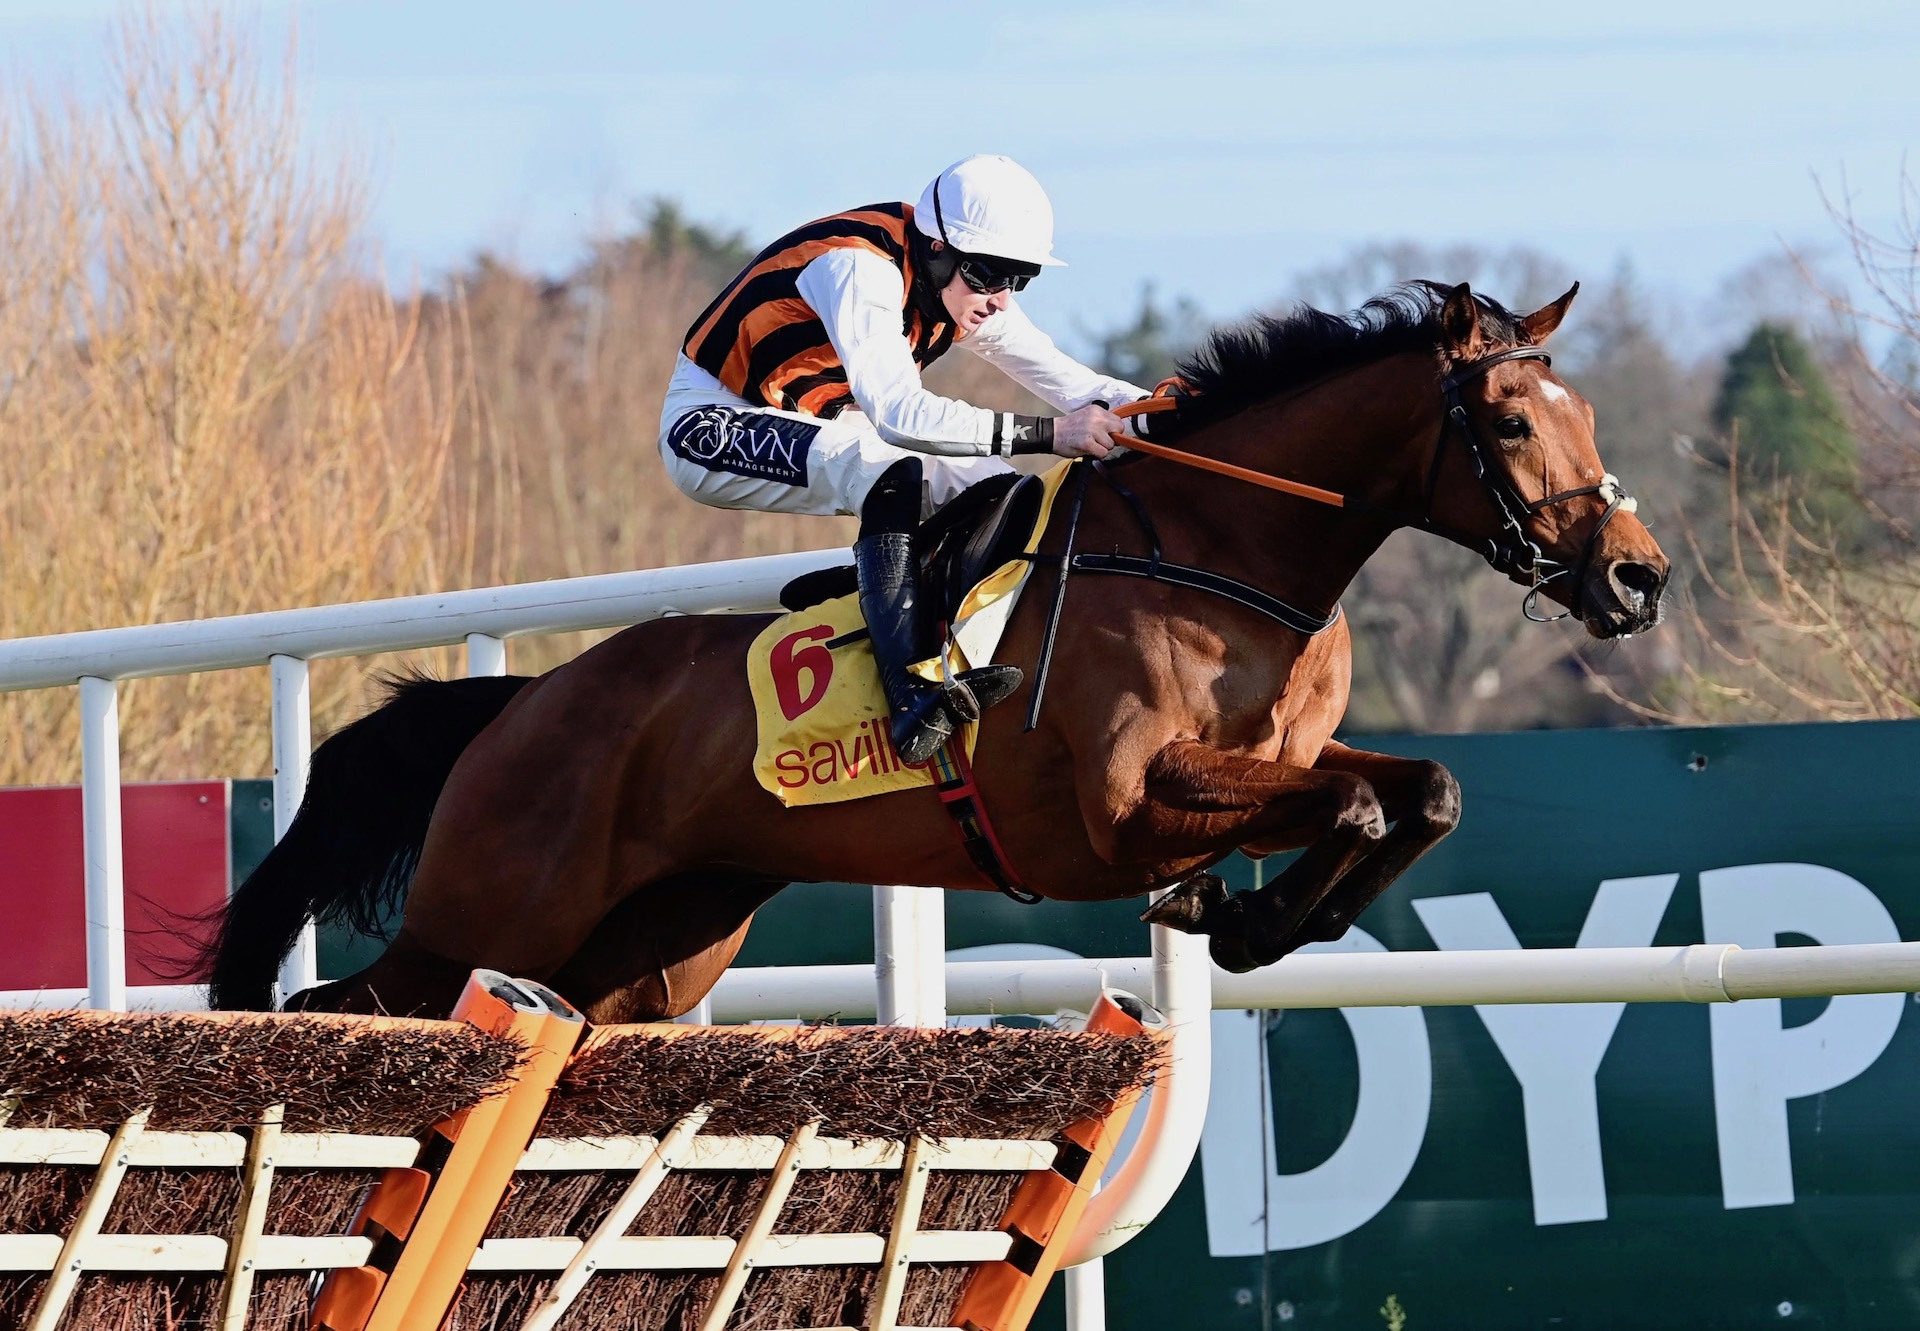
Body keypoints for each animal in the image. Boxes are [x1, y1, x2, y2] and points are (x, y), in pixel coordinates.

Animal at [210, 274, 1666, 1014]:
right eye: (1514, 423)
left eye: (1589, 413)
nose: (1636, 576)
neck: (1226, 551)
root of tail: (525, 705)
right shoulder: (1127, 804)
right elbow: (1361, 806)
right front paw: (1234, 915)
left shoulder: (1278, 764)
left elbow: (1423, 788)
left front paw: (1248, 920)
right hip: (489, 907)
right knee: (341, 1008)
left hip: (647, 950)